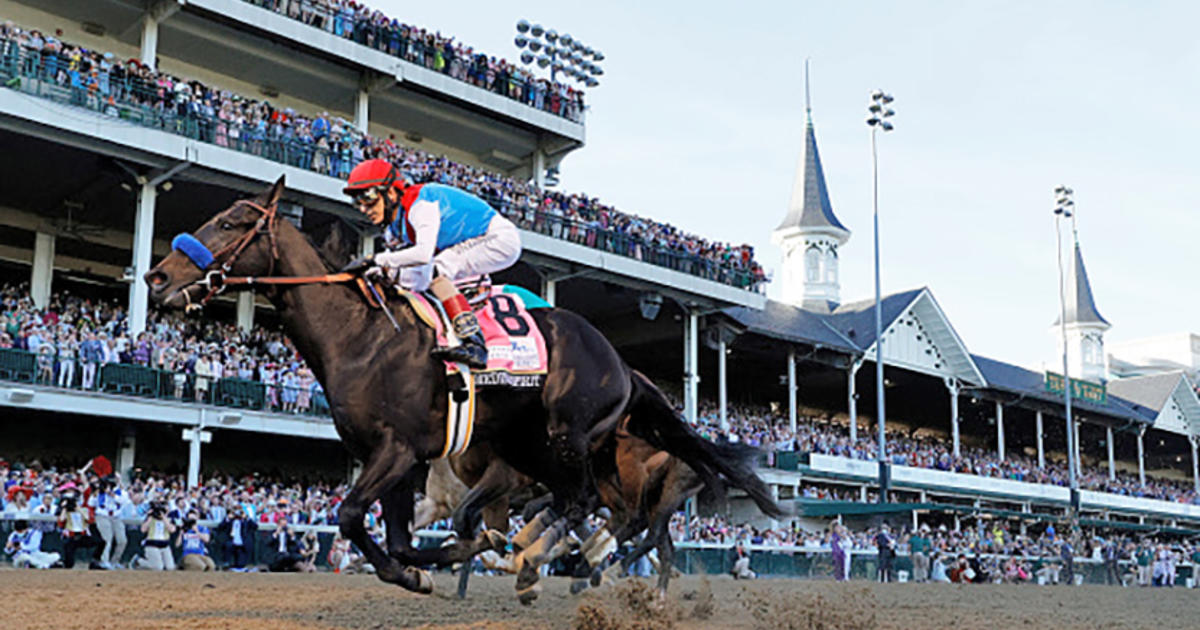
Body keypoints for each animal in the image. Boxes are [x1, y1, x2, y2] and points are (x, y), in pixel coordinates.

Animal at [145, 177, 782, 595]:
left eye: (231, 222)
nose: (156, 276)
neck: (361, 335)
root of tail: (624, 365)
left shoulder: (399, 450)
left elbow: (352, 516)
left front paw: (446, 563)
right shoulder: (396, 460)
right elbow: (402, 536)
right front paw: (427, 567)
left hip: (570, 436)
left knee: (594, 509)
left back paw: (553, 562)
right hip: (540, 448)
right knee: (598, 514)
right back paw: (547, 561)